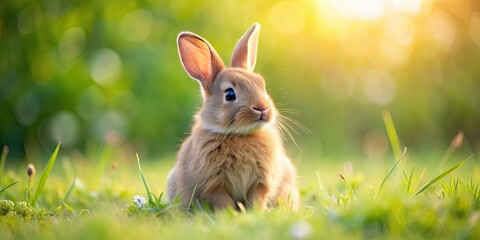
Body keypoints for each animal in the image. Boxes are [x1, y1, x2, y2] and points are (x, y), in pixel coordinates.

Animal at [167, 22, 298, 210]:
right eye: (229, 94)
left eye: (262, 86)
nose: (263, 108)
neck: (241, 134)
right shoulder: (214, 184)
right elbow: (223, 201)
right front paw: (231, 214)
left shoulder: (261, 182)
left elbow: (256, 199)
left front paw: (254, 213)